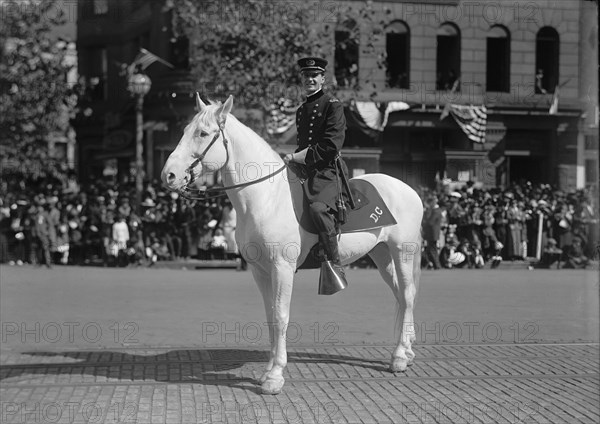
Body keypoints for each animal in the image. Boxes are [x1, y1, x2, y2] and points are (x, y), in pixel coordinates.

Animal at [159, 95, 422, 394]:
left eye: (202, 133)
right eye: (184, 131)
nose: (168, 175)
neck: (267, 197)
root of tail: (408, 188)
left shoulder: (282, 268)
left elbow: (282, 315)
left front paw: (275, 376)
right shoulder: (260, 271)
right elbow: (271, 316)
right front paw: (268, 371)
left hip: (403, 252)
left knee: (408, 295)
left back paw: (399, 357)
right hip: (381, 255)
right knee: (400, 296)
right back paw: (406, 351)